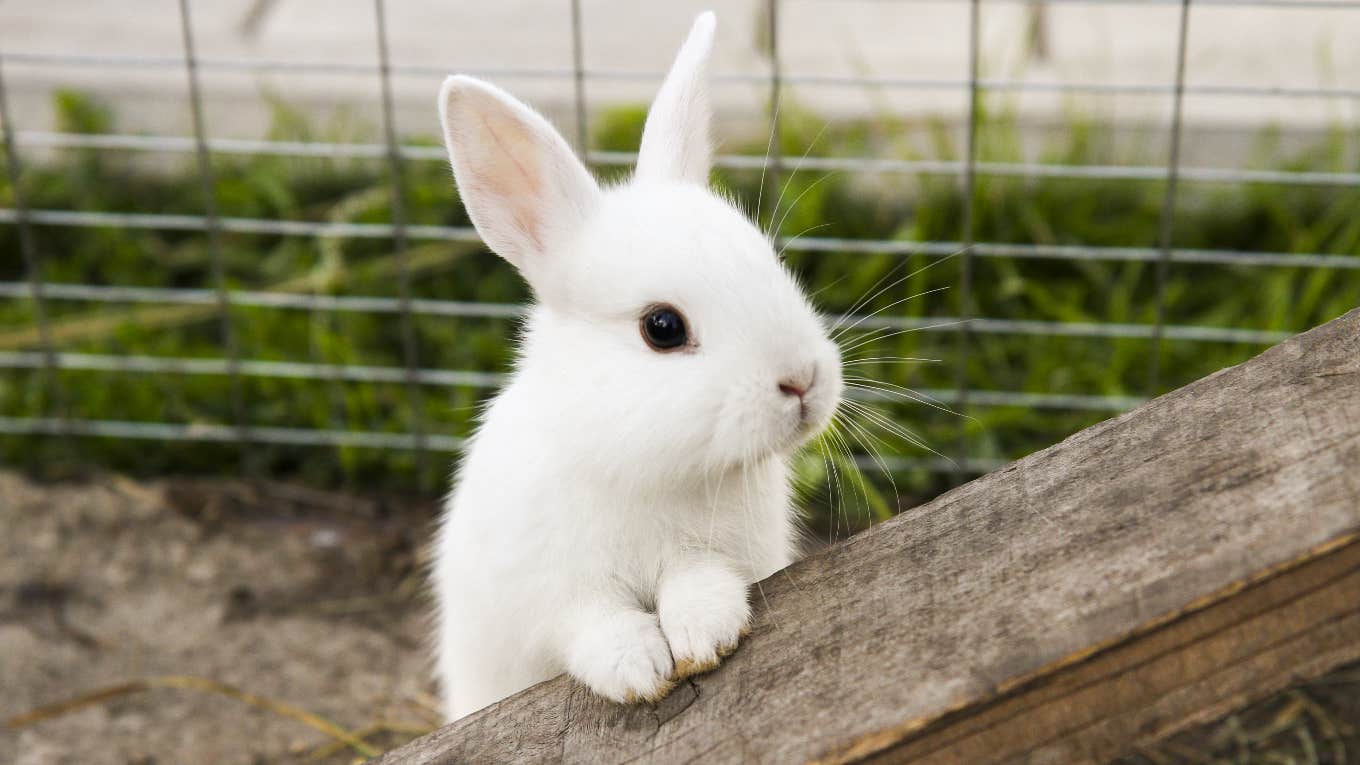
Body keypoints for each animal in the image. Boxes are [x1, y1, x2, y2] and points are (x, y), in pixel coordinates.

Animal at [431, 10, 843, 721]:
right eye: (663, 327)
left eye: (771, 262)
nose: (802, 382)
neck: (644, 468)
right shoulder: (550, 597)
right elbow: (592, 625)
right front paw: (638, 669)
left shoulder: (721, 552)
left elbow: (699, 580)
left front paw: (705, 633)